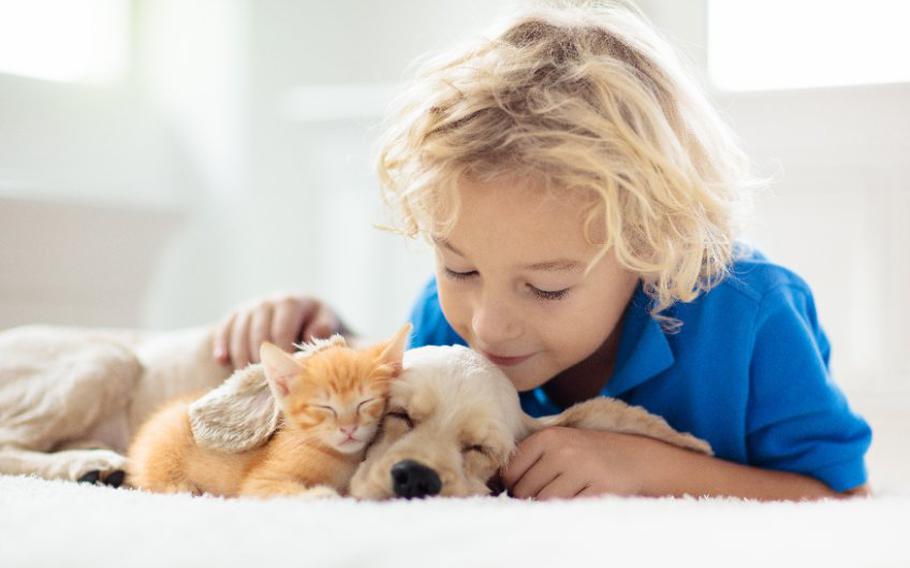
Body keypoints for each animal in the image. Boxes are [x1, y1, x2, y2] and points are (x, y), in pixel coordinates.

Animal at [126, 324, 412, 496]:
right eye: (324, 407)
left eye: (366, 402)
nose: (349, 428)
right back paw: (181, 486)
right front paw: (322, 494)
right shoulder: (260, 483)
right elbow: (288, 491)